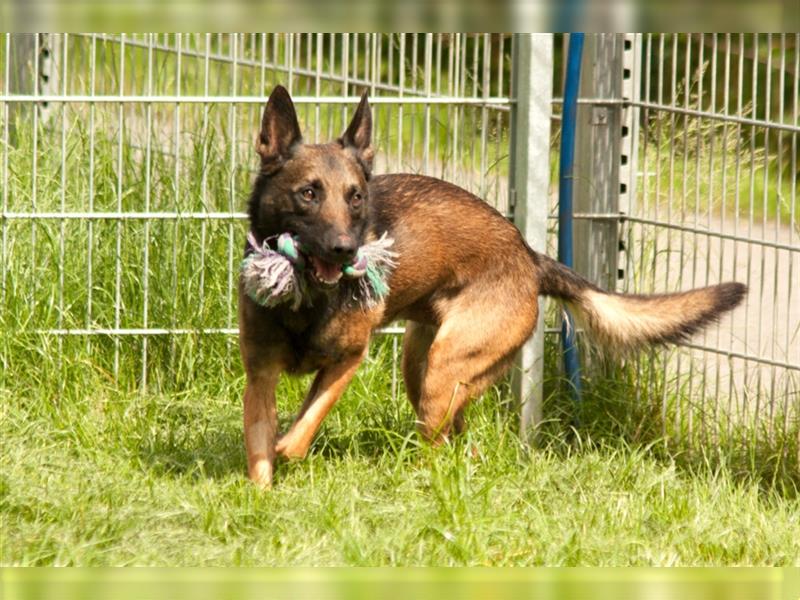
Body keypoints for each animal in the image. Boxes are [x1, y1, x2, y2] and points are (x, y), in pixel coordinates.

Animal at [236, 84, 744, 488]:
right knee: (455, 438)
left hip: (443, 370)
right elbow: (261, 445)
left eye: (356, 197)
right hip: (423, 369)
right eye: (308, 193)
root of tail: (530, 257)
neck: (305, 299)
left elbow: (299, 430)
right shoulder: (260, 374)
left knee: (439, 448)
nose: (345, 250)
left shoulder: (346, 361)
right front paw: (262, 497)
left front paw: (288, 449)